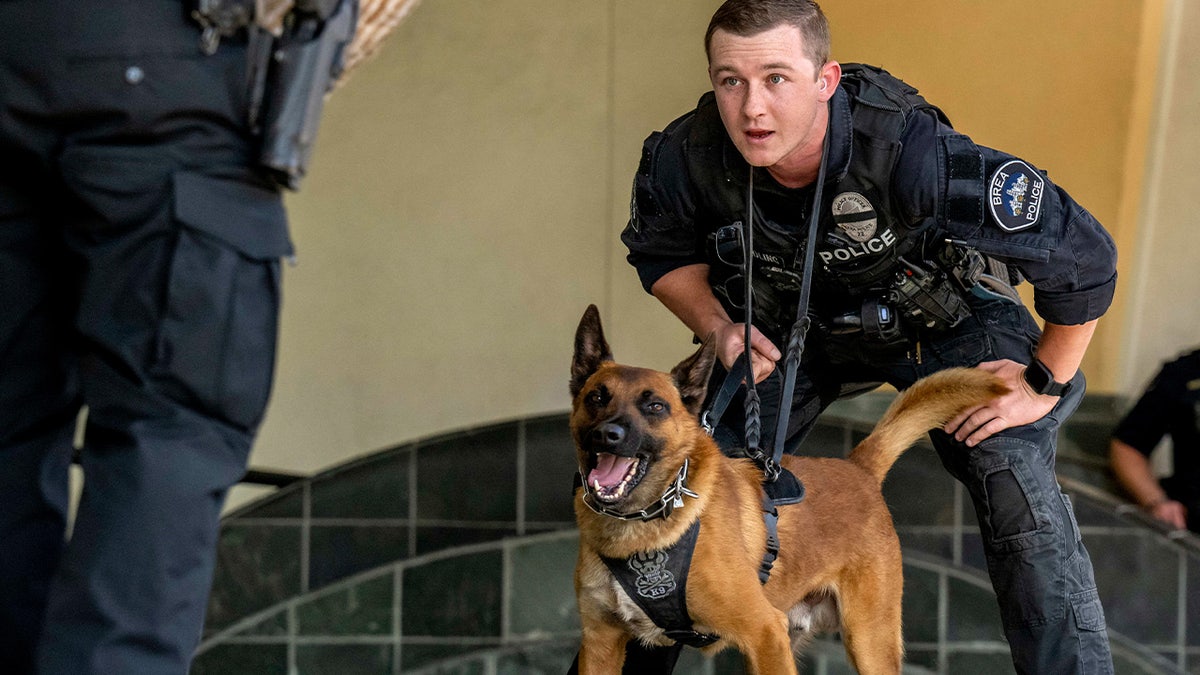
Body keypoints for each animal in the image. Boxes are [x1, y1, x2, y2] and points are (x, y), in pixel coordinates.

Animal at [566, 306, 1008, 672]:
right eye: (597, 397)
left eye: (654, 406)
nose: (608, 435)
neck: (641, 522)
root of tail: (857, 467)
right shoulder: (601, 645)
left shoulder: (764, 631)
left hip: (866, 642)